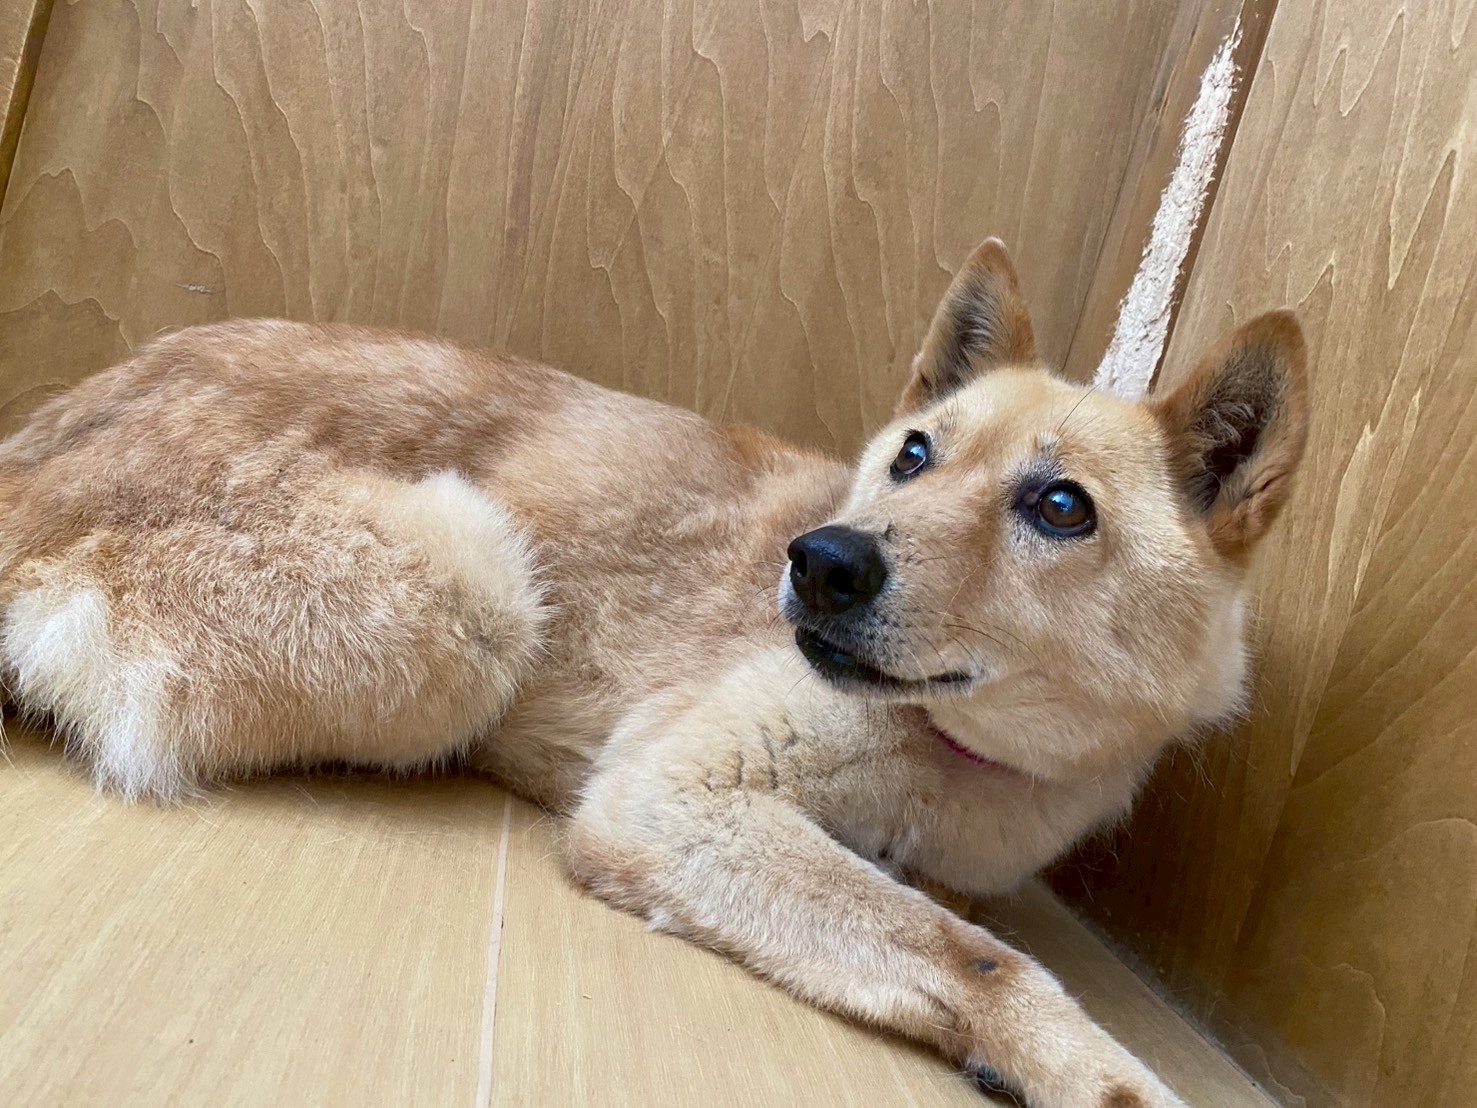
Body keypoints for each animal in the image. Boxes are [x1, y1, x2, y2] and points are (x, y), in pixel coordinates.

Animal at [0, 238, 1308, 1106]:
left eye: (1059, 507)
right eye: (914, 456)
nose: (820, 561)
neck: (965, 757)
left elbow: (940, 917)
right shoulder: (678, 797)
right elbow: (972, 949)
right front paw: (1096, 1069)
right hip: (472, 597)